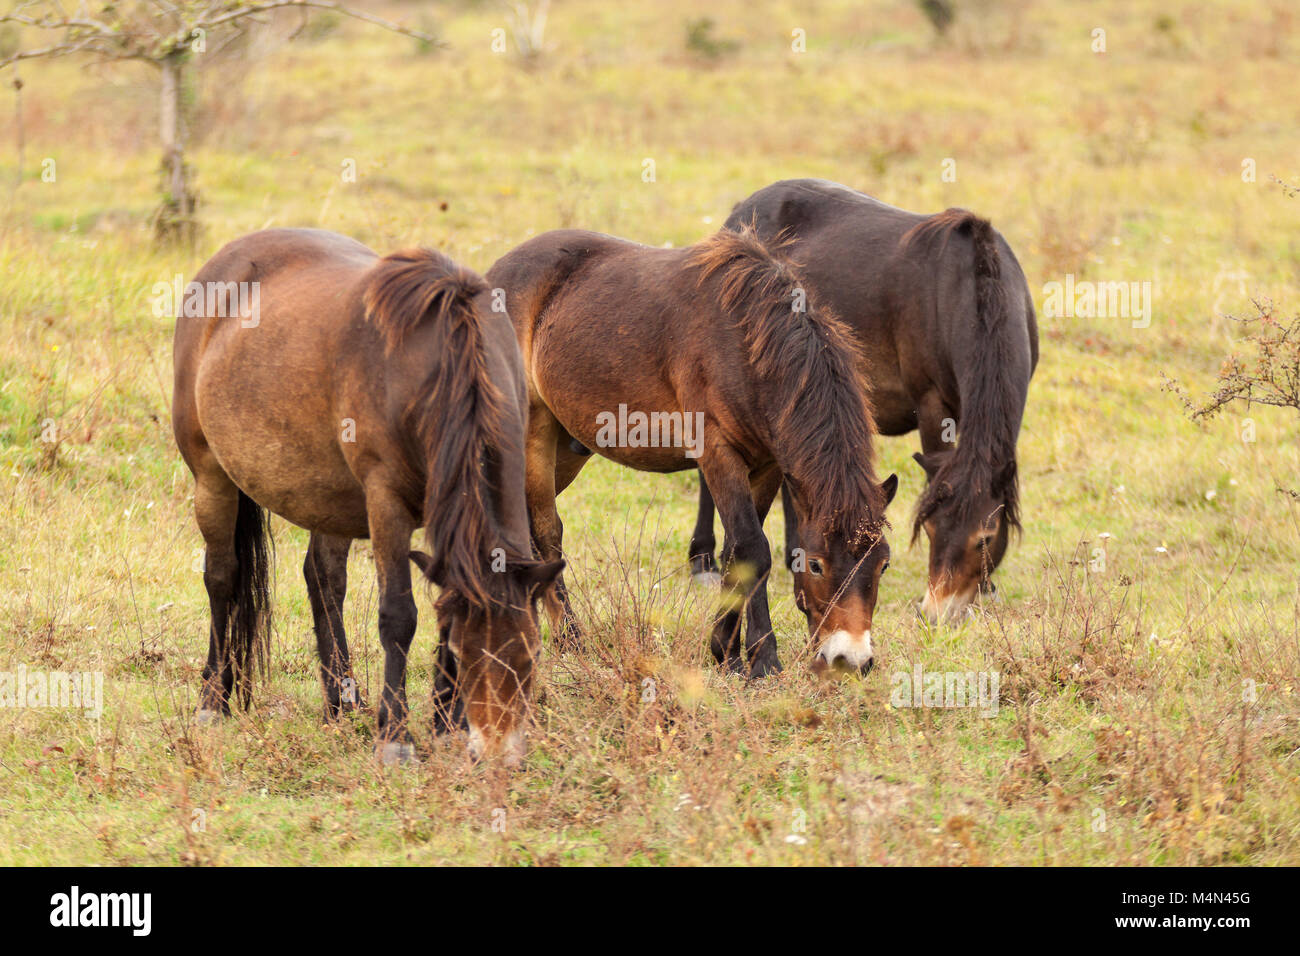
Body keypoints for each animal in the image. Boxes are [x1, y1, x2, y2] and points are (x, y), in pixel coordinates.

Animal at [170, 230, 561, 770]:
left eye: (531, 656)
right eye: (467, 658)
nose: (498, 755)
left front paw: (447, 724)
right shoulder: (386, 503)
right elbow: (399, 616)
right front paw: (396, 736)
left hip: (324, 494)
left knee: (322, 580)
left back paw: (341, 702)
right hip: (212, 478)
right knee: (222, 580)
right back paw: (213, 700)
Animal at [483, 223, 899, 676]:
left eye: (883, 563)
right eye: (816, 564)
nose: (852, 659)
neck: (748, 345)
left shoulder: (767, 465)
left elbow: (737, 551)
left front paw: (730, 652)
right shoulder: (718, 453)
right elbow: (753, 548)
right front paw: (761, 659)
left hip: (567, 449)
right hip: (533, 432)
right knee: (546, 530)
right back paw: (566, 635)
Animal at [686, 180, 1040, 624]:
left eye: (985, 538)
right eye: (929, 530)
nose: (935, 614)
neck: (967, 287)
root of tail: (738, 215)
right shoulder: (931, 406)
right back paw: (702, 562)